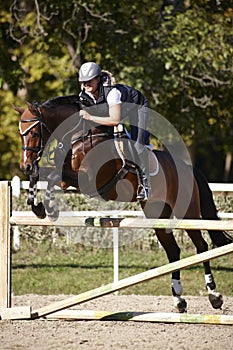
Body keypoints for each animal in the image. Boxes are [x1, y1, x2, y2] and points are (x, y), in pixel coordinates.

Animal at [14, 95, 231, 312]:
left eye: (33, 132)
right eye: (20, 134)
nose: (25, 165)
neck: (78, 136)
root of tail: (187, 167)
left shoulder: (88, 179)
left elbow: (51, 175)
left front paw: (47, 208)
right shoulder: (67, 180)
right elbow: (44, 175)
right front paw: (37, 205)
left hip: (187, 212)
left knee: (201, 246)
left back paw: (214, 295)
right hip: (157, 213)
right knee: (173, 251)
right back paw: (178, 299)